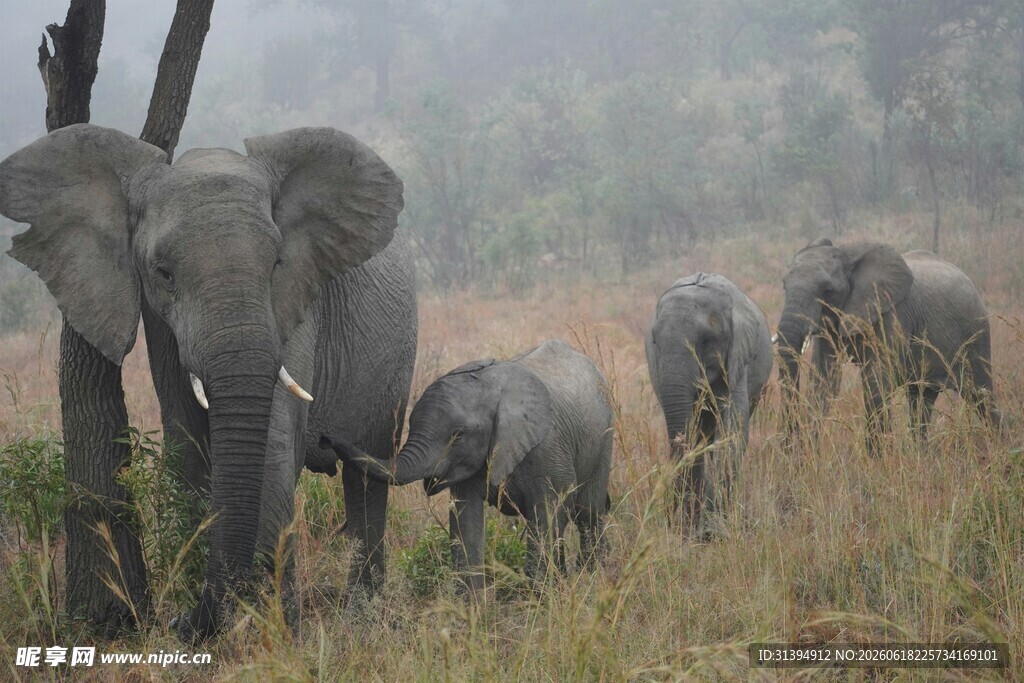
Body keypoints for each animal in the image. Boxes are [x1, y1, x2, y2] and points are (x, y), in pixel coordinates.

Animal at [0, 123, 417, 641]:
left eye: (277, 264)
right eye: (163, 273)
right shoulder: (160, 324)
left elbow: (273, 447)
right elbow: (188, 447)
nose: (177, 620)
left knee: (369, 469)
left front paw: (281, 632)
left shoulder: (296, 306)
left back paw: (361, 611)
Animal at [319, 339, 614, 592]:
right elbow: (466, 524)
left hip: (605, 437)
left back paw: (594, 578)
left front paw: (539, 600)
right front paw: (473, 614)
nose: (325, 439)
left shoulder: (546, 450)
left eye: (457, 435)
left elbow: (546, 518)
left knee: (587, 513)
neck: (489, 388)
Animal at [645, 272, 773, 537]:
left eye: (706, 341)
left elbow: (732, 433)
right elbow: (693, 438)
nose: (668, 518)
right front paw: (693, 529)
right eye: (655, 342)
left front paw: (719, 527)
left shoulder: (738, 359)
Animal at [775, 238, 1001, 454]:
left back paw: (999, 448)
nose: (788, 446)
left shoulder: (892, 313)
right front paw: (809, 454)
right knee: (921, 399)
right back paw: (920, 455)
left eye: (827, 291)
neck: (848, 254)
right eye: (784, 286)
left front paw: (876, 458)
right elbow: (823, 380)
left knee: (981, 394)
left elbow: (877, 380)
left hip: (976, 335)